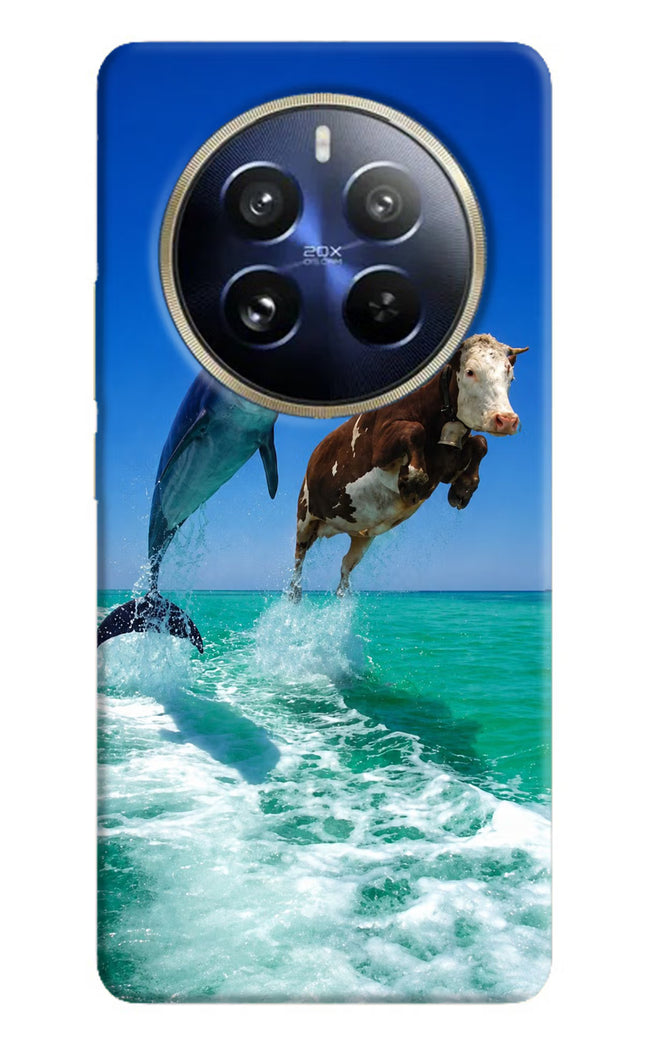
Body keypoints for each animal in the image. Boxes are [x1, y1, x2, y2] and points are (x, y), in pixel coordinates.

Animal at [289, 333, 528, 600]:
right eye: (470, 371)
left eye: (510, 376)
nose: (506, 420)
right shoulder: (381, 448)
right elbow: (415, 430)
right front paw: (412, 480)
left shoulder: (446, 466)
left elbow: (480, 443)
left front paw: (463, 489)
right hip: (304, 517)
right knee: (298, 560)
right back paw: (295, 594)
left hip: (361, 535)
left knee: (345, 566)